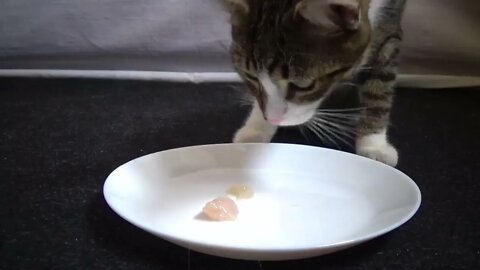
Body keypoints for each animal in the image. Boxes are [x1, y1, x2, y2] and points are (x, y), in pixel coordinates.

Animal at [221, 0, 404, 167]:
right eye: (250, 77)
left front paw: (374, 143)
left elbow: (380, 82)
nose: (273, 119)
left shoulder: (390, 16)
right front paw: (257, 128)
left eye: (304, 86)